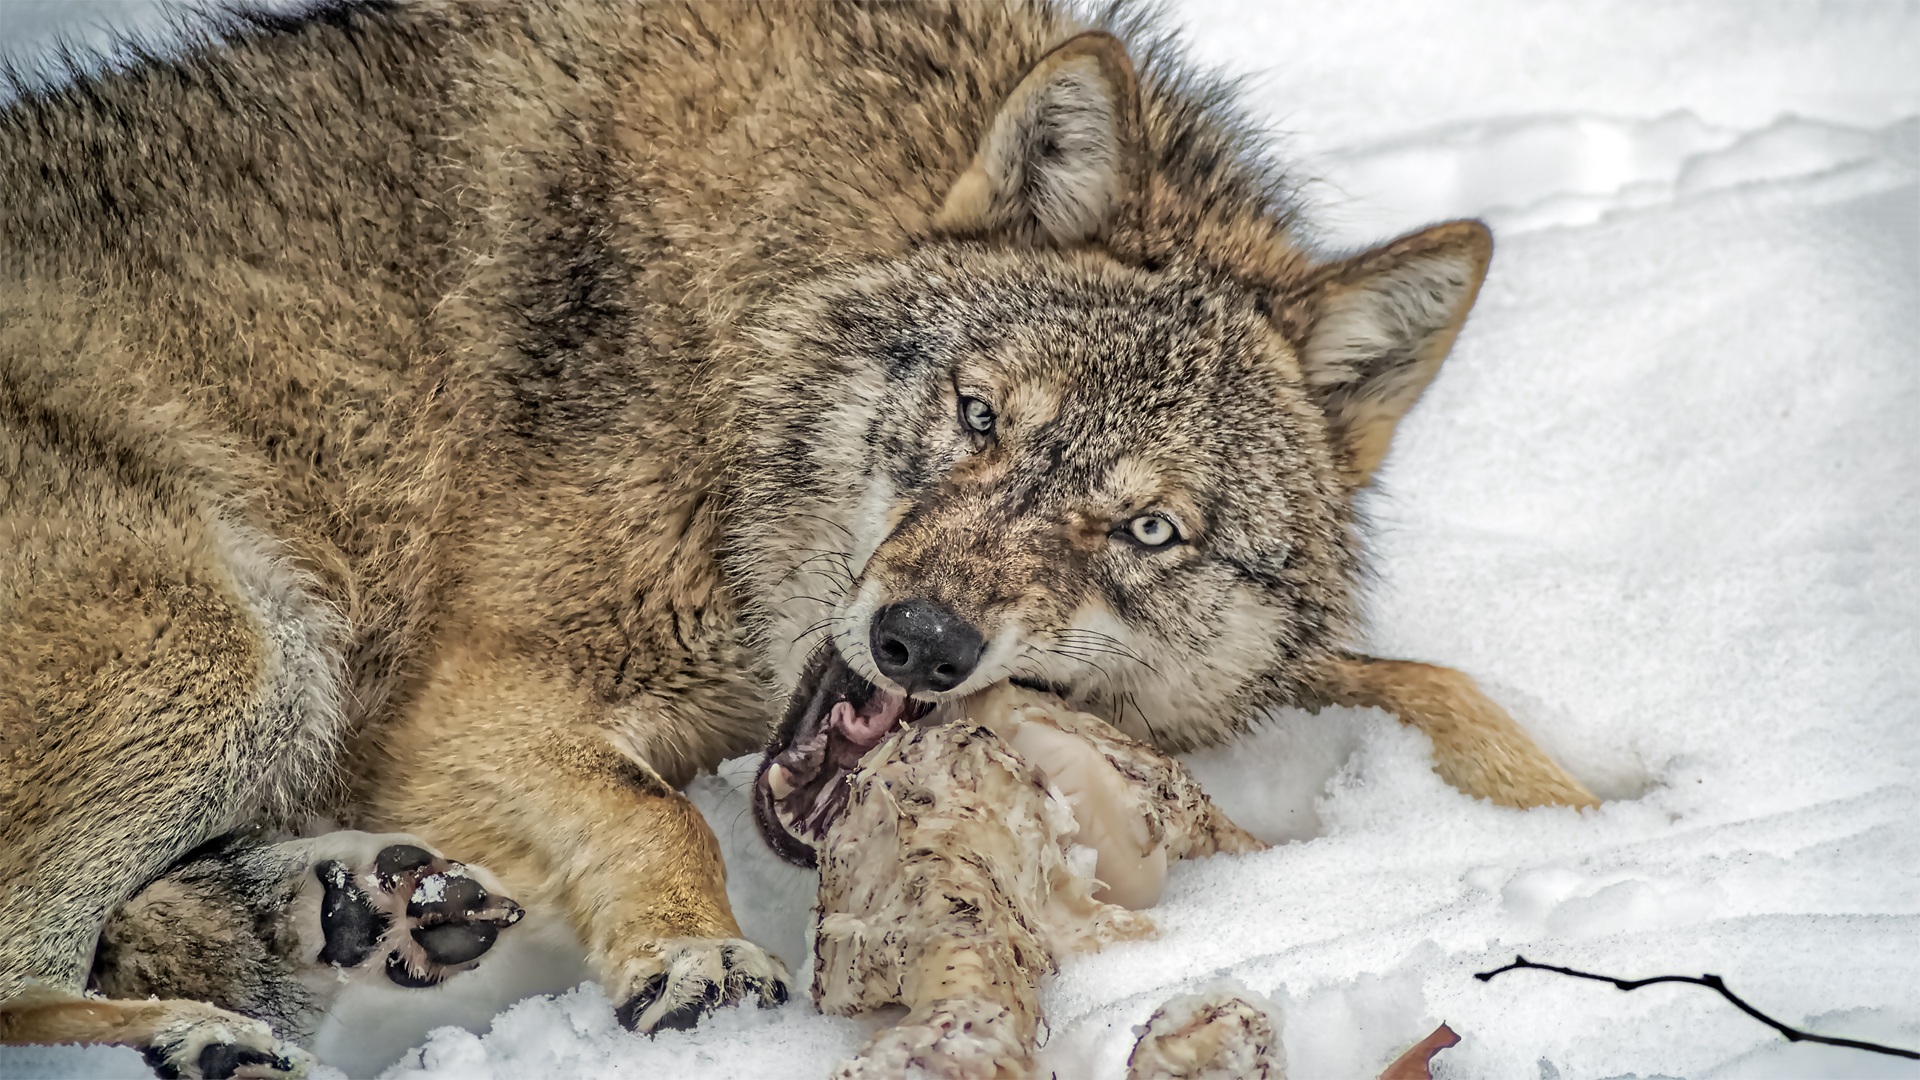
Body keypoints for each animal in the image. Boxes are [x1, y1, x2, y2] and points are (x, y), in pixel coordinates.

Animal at [0, 4, 1589, 1068]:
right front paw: (698, 953)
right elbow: (650, 808)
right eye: (978, 417)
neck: (740, 310)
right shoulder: (469, 688)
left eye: (1146, 529)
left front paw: (1575, 811)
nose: (922, 642)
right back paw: (198, 1032)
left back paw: (350, 912)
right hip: (238, 640)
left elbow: (1432, 683)